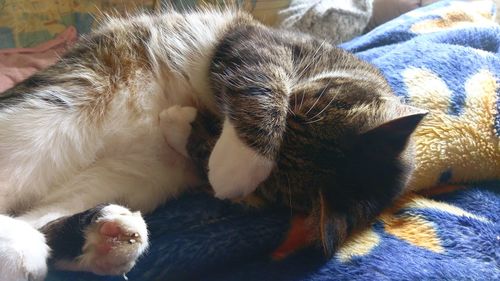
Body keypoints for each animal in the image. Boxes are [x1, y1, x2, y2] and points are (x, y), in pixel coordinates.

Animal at [0, 6, 426, 280]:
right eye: (296, 106)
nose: (216, 123)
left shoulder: (191, 164)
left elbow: (200, 153)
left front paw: (189, 131)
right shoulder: (256, 40)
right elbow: (260, 78)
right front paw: (240, 162)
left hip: (129, 178)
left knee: (39, 219)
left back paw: (103, 240)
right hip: (51, 113)